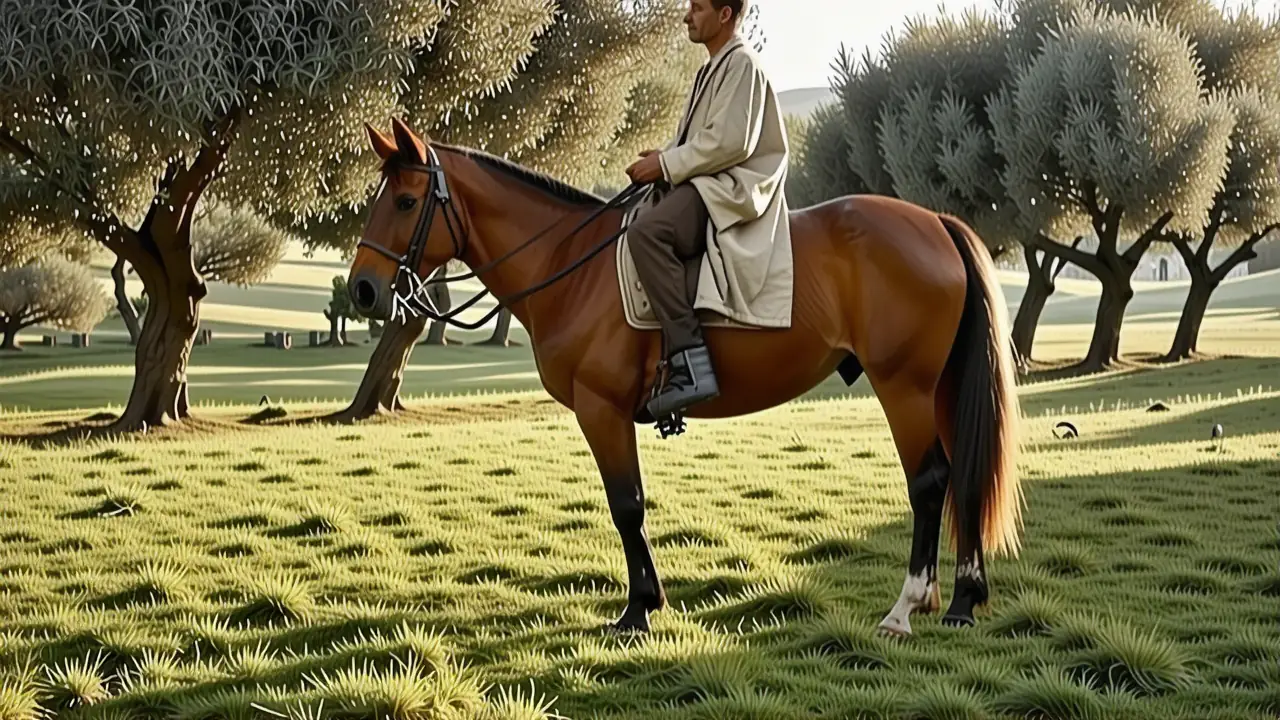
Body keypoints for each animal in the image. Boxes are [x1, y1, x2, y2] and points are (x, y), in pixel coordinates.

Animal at [346, 118, 1023, 637]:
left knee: (930, 482)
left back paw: (907, 606)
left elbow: (626, 506)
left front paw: (638, 610)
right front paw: (646, 603)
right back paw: (962, 601)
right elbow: (631, 505)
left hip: (904, 387)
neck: (571, 265)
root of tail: (935, 222)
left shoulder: (602, 410)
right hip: (938, 390)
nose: (364, 290)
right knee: (965, 474)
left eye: (405, 202)